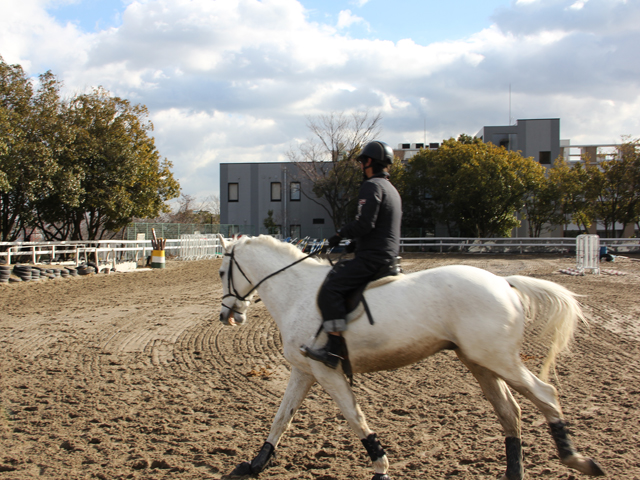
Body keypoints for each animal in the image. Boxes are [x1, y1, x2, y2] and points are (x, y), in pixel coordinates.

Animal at [216, 236, 604, 480]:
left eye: (222, 272)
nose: (227, 316)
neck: (297, 292)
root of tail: (503, 282)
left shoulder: (327, 373)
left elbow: (355, 418)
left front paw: (381, 467)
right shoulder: (304, 372)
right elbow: (281, 419)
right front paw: (255, 464)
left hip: (499, 359)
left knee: (545, 395)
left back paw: (577, 460)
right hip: (480, 362)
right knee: (511, 412)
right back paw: (515, 472)